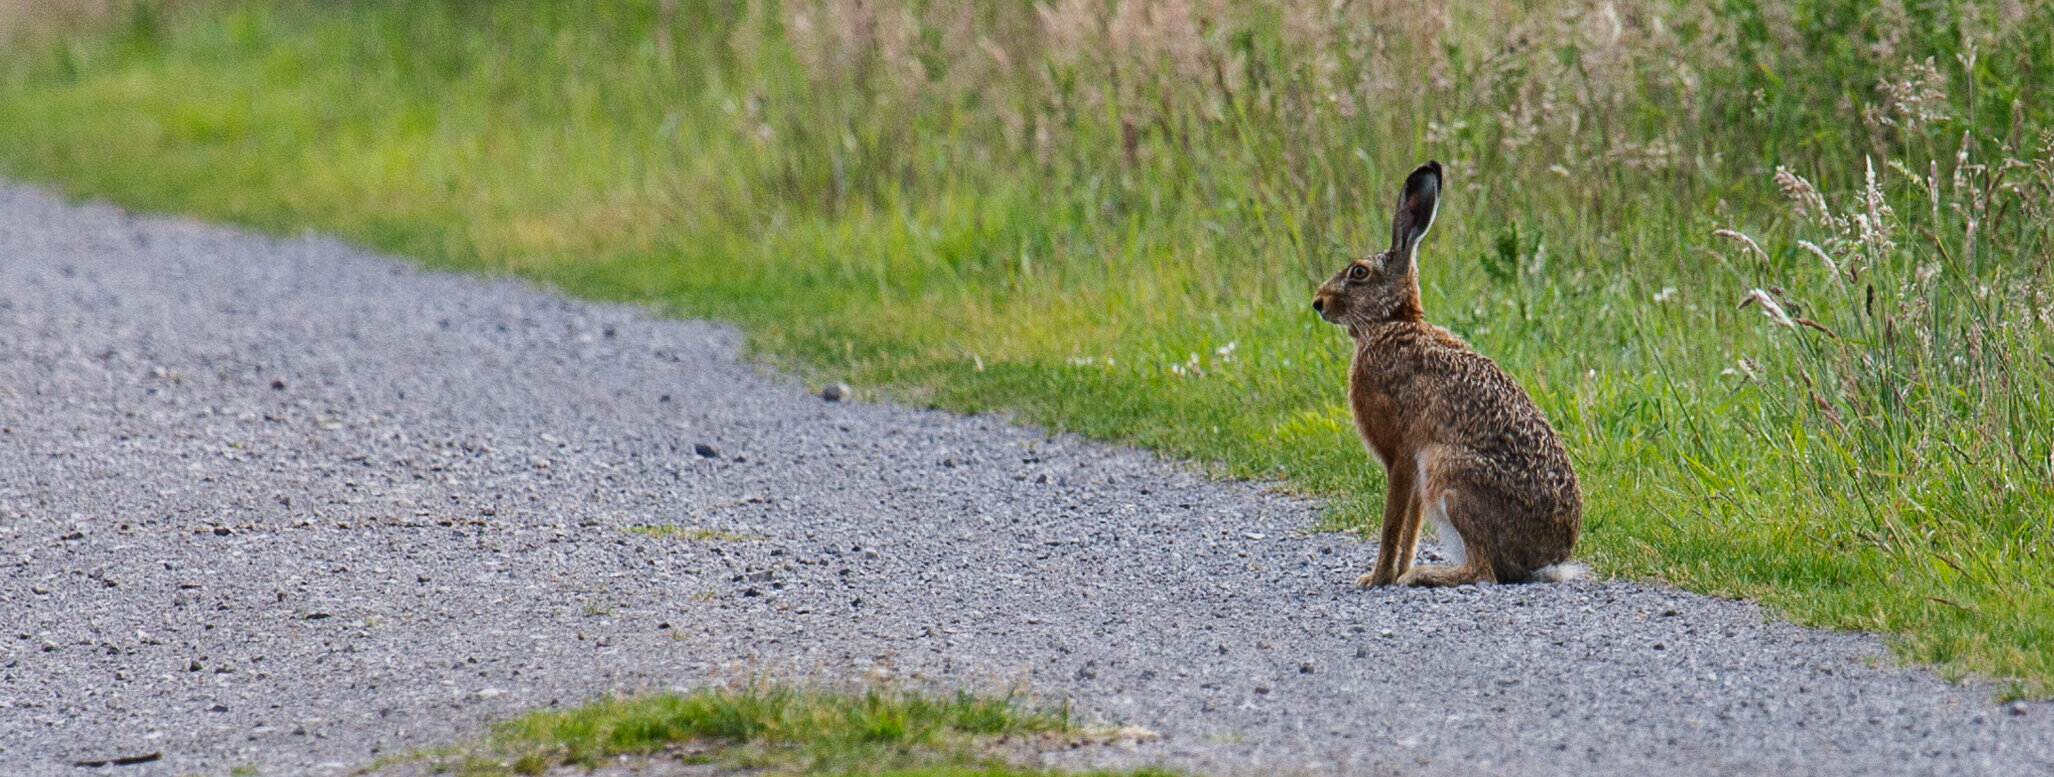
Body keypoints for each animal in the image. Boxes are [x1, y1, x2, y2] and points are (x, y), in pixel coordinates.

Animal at [1311, 161, 1585, 587]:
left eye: (1359, 272)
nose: (1318, 303)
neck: (1392, 323)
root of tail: (1549, 558)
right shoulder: (1413, 471)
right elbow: (1411, 526)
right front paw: (1394, 572)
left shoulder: (1402, 456)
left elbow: (1392, 523)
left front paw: (1377, 578)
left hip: (1449, 472)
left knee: (1483, 570)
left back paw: (1425, 575)